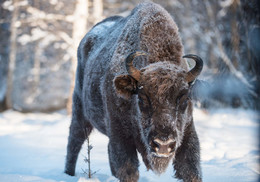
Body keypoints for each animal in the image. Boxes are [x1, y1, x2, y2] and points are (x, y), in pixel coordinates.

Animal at [64, 1, 203, 182]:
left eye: (185, 99)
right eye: (142, 99)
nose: (163, 144)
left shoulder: (187, 132)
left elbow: (190, 170)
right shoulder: (120, 137)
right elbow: (128, 171)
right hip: (80, 112)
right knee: (74, 142)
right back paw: (68, 173)